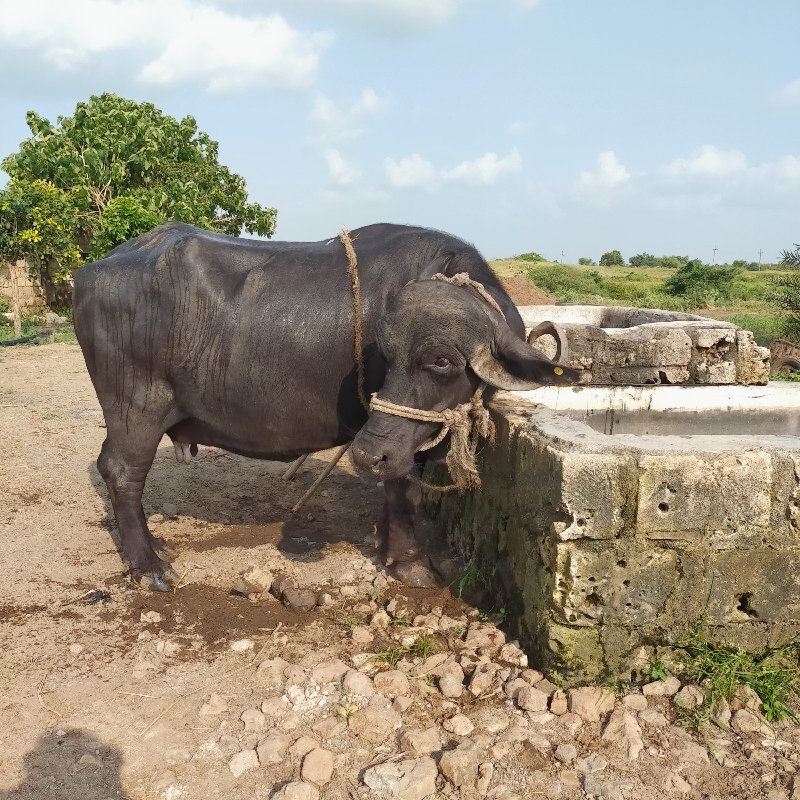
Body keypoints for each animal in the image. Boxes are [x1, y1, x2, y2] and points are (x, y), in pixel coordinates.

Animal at [72, 222, 580, 592]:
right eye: (386, 356)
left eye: (442, 361)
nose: (365, 453)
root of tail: (92, 273)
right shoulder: (395, 443)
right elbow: (402, 488)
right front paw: (411, 563)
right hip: (136, 406)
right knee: (122, 471)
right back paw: (149, 567)